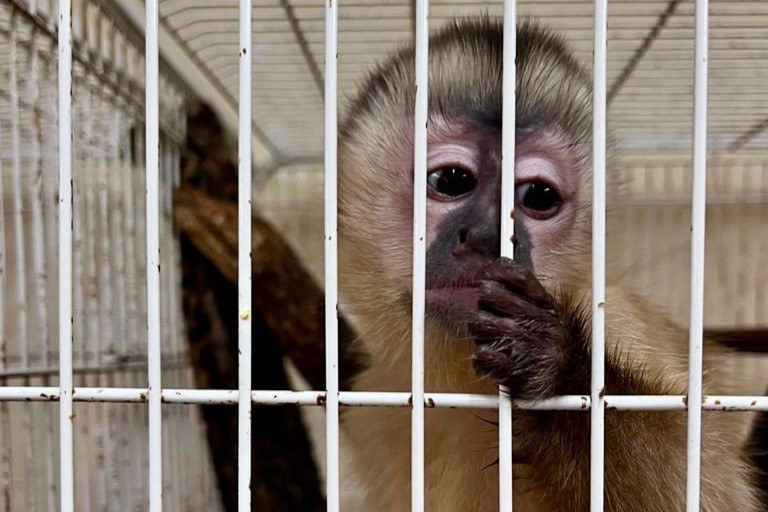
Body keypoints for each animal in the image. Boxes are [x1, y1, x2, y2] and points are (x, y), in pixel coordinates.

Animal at [336, 17, 763, 511]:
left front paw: (550, 362)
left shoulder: (618, 319)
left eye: (538, 196)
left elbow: (705, 490)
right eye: (452, 181)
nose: (488, 236)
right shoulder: (373, 404)